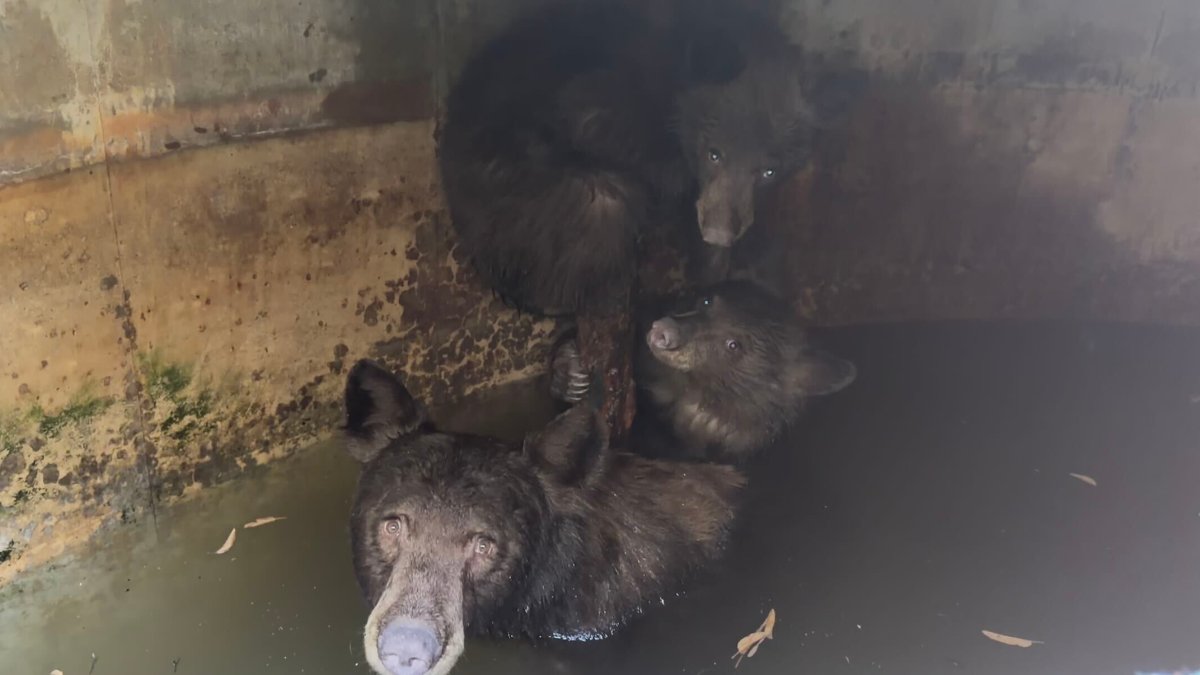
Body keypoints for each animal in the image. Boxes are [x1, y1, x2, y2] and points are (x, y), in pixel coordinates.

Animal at [437, 0, 822, 314]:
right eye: (714, 153)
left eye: (769, 172)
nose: (719, 233)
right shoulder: (605, 97)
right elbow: (594, 123)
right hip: (549, 199)